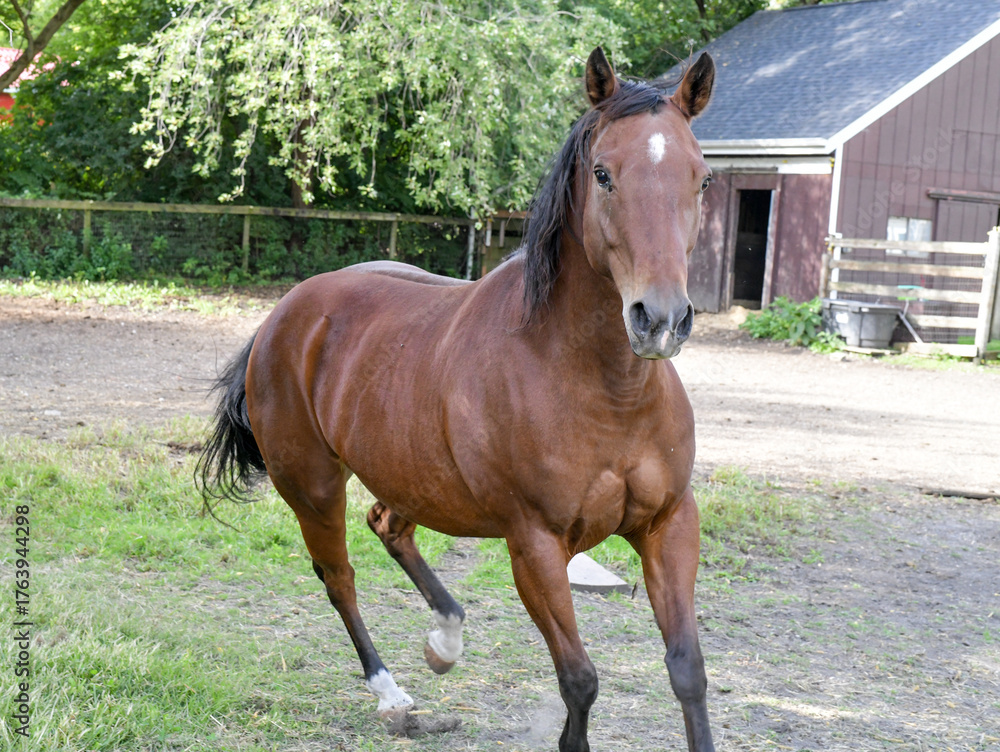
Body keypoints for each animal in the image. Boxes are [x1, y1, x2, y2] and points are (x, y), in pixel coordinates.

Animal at [198, 47, 716, 752]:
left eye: (702, 179)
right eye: (604, 174)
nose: (660, 320)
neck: (606, 392)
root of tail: (286, 312)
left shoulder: (668, 525)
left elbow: (687, 671)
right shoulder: (535, 546)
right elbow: (579, 680)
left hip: (408, 473)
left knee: (388, 527)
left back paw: (445, 638)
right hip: (313, 487)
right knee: (339, 577)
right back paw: (392, 697)